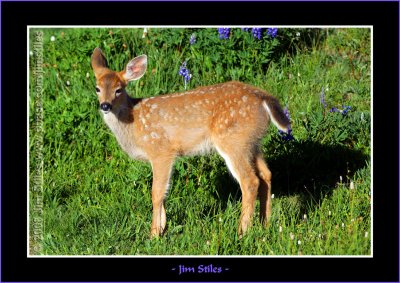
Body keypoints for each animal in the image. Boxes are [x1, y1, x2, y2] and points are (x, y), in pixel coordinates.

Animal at [90, 47, 290, 239]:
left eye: (118, 89)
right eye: (97, 88)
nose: (105, 106)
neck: (133, 123)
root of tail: (263, 97)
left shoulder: (161, 151)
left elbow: (156, 193)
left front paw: (153, 234)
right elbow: (164, 192)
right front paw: (163, 228)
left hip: (233, 142)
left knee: (250, 180)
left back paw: (242, 232)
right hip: (253, 143)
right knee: (266, 174)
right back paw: (265, 224)